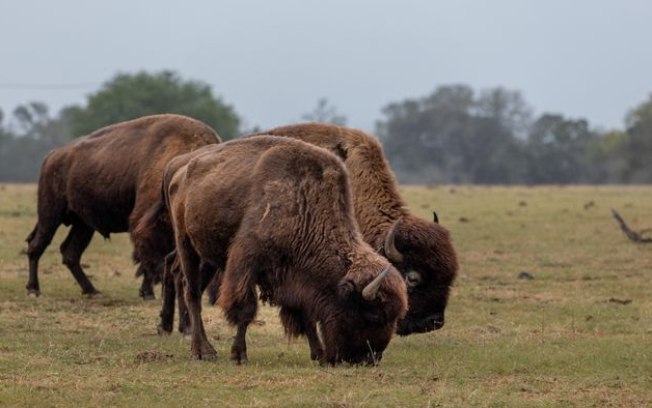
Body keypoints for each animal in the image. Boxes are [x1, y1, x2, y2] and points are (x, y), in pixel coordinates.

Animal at [24, 113, 222, 298]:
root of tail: (53, 155)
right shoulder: (146, 225)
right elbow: (149, 259)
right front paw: (148, 293)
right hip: (50, 214)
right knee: (37, 245)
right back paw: (34, 289)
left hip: (83, 224)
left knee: (70, 253)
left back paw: (92, 290)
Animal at [136, 137, 408, 364]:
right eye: (373, 316)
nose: (369, 359)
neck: (304, 204)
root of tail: (178, 168)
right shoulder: (247, 264)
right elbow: (245, 311)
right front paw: (239, 356)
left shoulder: (295, 279)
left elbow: (304, 314)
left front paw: (318, 354)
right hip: (186, 244)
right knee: (191, 292)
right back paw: (203, 352)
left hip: (208, 257)